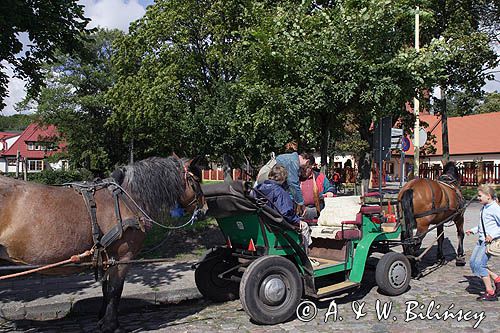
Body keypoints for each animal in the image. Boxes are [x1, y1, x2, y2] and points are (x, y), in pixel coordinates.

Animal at [0, 156, 207, 332]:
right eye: (196, 181)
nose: (204, 209)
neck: (127, 199)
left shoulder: (108, 256)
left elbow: (106, 289)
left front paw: (102, 320)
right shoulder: (123, 257)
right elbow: (115, 290)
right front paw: (111, 325)